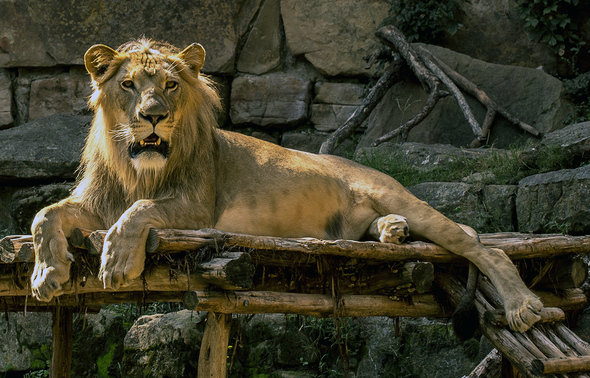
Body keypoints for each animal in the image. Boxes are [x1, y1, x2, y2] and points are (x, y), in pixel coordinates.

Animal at [30, 38, 544, 332]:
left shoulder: (198, 208)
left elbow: (137, 212)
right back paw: (390, 232)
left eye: (171, 86)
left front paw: (117, 262)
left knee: (482, 246)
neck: (139, 167)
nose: (153, 115)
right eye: (130, 85)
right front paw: (45, 274)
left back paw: (522, 305)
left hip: (397, 194)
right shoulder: (97, 202)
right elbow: (45, 215)